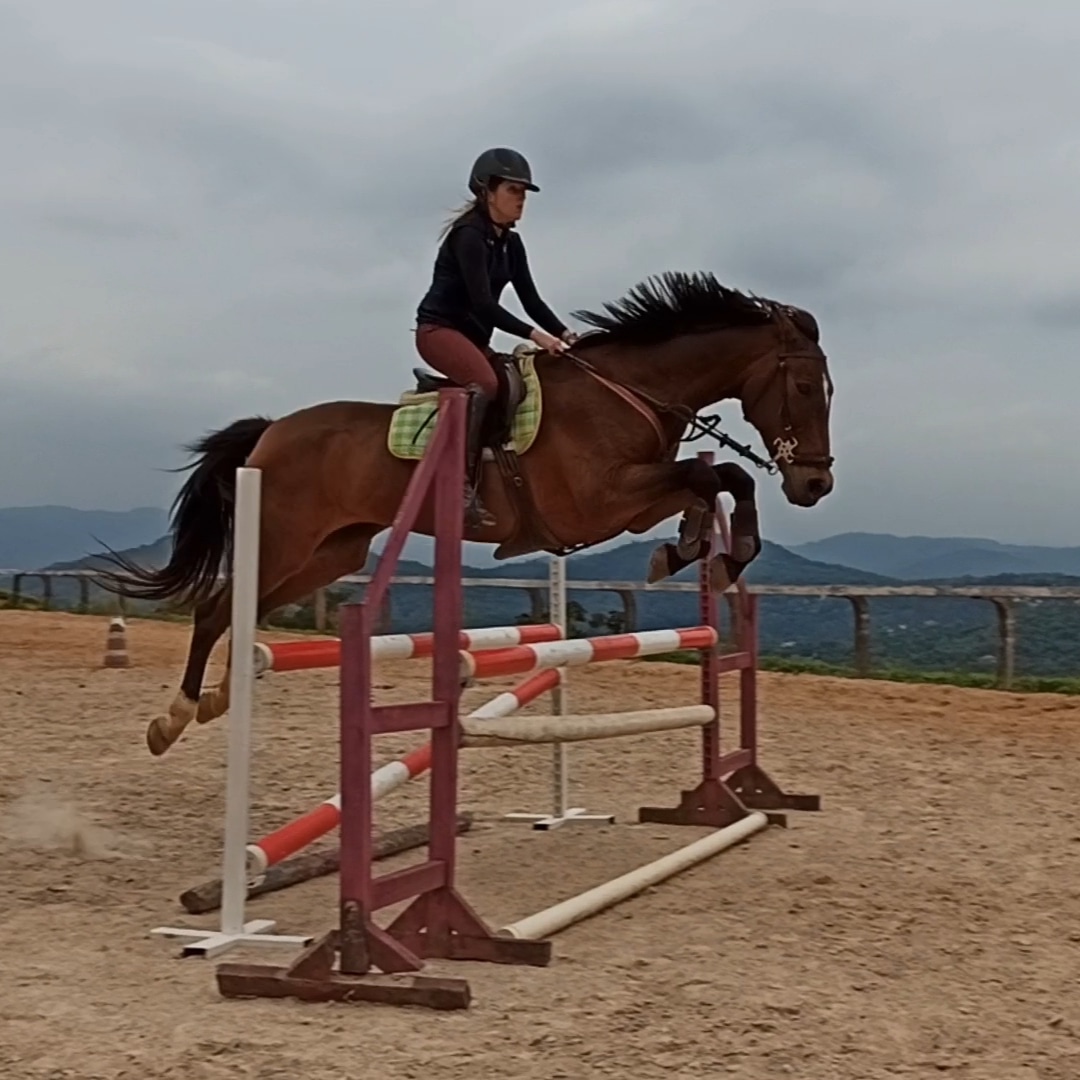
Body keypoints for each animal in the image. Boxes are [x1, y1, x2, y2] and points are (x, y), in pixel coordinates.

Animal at [99, 274, 833, 756]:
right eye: (803, 386)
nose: (815, 483)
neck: (629, 392)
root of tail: (270, 431)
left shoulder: (629, 500)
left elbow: (718, 479)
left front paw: (697, 548)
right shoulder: (600, 502)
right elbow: (712, 474)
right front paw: (704, 550)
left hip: (333, 551)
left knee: (247, 609)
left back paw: (219, 699)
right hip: (284, 538)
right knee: (216, 608)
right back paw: (175, 718)